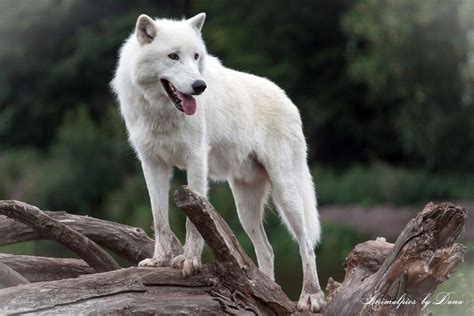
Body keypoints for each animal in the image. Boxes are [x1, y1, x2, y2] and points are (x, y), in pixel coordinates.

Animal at [112, 12, 326, 312]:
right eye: (173, 56)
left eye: (196, 56)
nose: (199, 86)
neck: (161, 114)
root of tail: (289, 100)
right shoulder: (152, 164)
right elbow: (159, 218)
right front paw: (159, 260)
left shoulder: (195, 159)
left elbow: (191, 223)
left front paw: (189, 261)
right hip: (245, 208)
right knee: (267, 249)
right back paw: (268, 290)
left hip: (286, 192)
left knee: (305, 243)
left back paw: (311, 296)